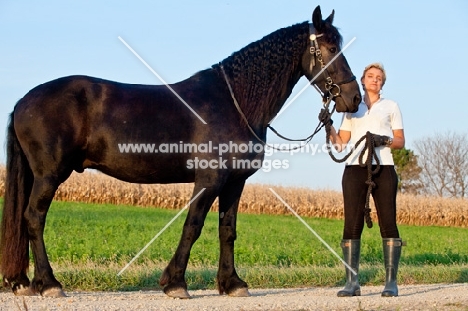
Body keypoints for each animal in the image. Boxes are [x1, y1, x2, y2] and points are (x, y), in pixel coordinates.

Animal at [0, 5, 360, 300]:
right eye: (330, 48)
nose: (354, 98)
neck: (235, 103)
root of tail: (24, 100)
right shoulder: (209, 180)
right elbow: (193, 226)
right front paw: (175, 283)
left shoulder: (235, 182)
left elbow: (227, 230)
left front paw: (232, 284)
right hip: (49, 175)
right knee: (34, 218)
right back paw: (49, 284)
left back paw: (28, 282)